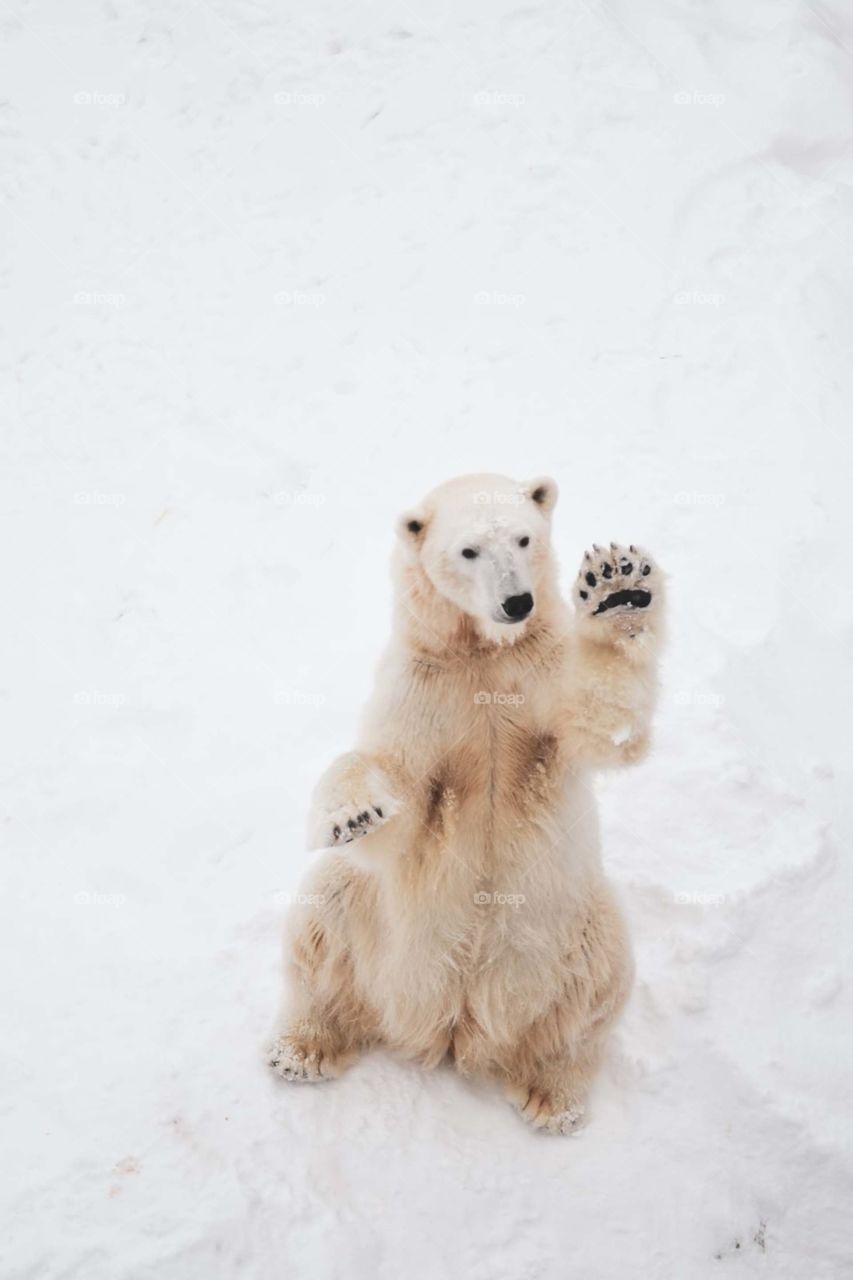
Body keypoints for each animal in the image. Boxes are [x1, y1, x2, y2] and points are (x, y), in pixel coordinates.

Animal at [268, 472, 664, 1134]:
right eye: (468, 551)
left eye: (524, 538)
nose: (517, 602)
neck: (485, 653)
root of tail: (458, 1025)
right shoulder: (423, 686)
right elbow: (393, 788)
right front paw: (353, 814)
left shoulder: (540, 673)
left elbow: (601, 723)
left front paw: (619, 590)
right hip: (378, 930)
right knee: (324, 915)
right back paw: (301, 1048)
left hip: (573, 922)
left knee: (594, 987)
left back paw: (552, 1096)